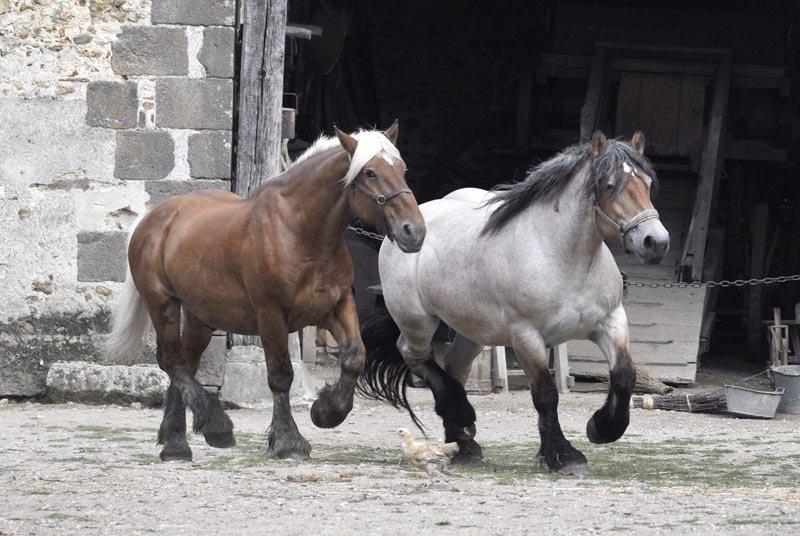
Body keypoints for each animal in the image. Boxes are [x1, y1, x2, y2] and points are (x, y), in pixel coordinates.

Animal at [106, 122, 425, 461]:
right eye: (369, 173)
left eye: (403, 169)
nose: (414, 230)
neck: (300, 233)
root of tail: (153, 219)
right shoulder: (271, 315)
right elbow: (281, 375)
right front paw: (288, 441)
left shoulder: (336, 306)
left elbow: (354, 356)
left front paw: (326, 412)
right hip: (162, 304)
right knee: (174, 362)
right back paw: (214, 427)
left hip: (200, 316)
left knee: (184, 363)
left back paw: (175, 442)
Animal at [357, 131, 669, 475]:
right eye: (610, 185)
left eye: (647, 182)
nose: (656, 242)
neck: (561, 255)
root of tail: (405, 227)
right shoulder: (526, 336)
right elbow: (546, 394)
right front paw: (564, 456)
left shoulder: (611, 321)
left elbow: (625, 375)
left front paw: (601, 428)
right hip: (418, 321)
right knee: (414, 355)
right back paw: (462, 419)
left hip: (471, 329)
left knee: (454, 366)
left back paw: (464, 441)